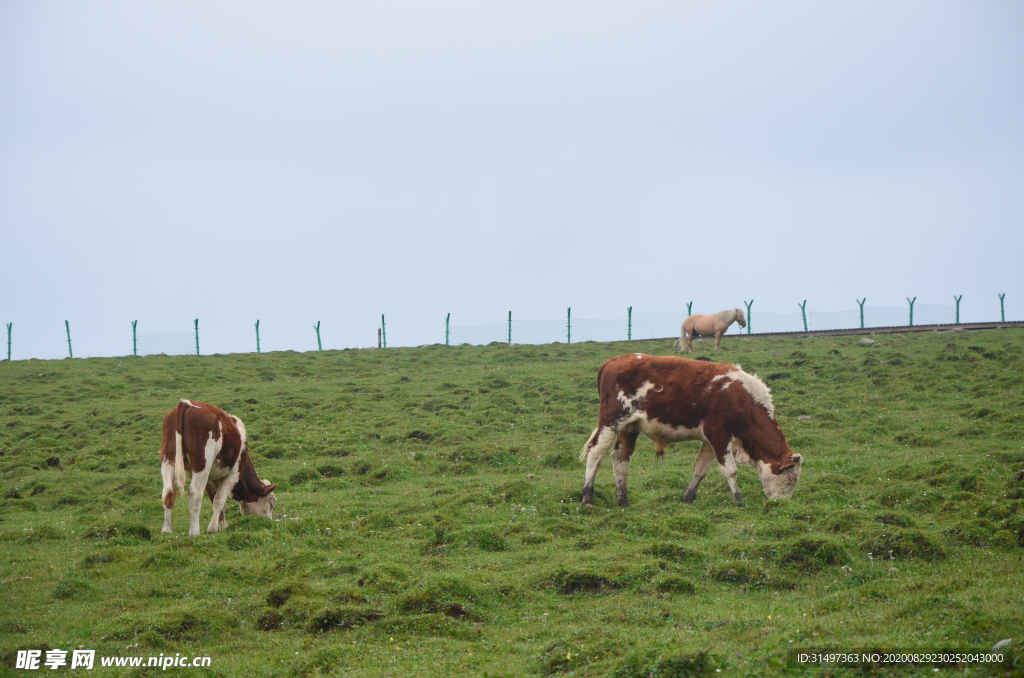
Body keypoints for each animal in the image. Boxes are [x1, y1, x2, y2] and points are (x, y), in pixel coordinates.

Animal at [157, 399, 276, 536]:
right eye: (271, 503)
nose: (268, 522)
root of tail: (186, 402)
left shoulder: (210, 477)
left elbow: (216, 499)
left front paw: (222, 525)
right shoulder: (233, 475)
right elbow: (219, 501)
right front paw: (213, 528)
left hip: (168, 460)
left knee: (168, 492)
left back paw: (167, 529)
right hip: (201, 463)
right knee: (195, 493)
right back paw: (194, 531)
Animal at [581, 352, 802, 507]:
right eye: (791, 478)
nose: (782, 504)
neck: (742, 398)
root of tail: (613, 361)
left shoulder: (709, 441)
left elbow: (700, 470)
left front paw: (688, 497)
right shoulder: (719, 435)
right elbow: (730, 470)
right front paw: (738, 499)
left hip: (629, 428)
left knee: (621, 460)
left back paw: (623, 501)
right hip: (611, 422)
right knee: (596, 454)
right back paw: (587, 498)